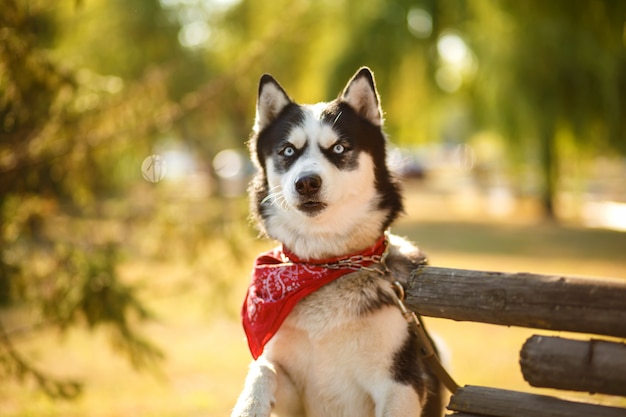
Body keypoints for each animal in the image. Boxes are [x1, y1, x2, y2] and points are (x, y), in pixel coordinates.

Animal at [232, 66, 442, 414]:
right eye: (288, 151)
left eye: (340, 148)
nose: (306, 183)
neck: (325, 265)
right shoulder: (291, 388)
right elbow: (261, 369)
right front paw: (248, 407)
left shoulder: (401, 383)